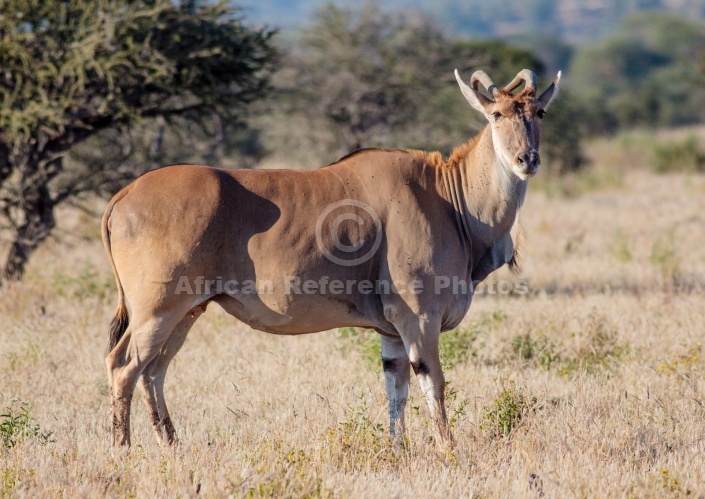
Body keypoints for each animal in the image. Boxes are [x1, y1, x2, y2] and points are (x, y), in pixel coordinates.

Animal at [102, 68, 560, 448]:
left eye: (538, 112)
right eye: (497, 114)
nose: (527, 160)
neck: (447, 196)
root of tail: (124, 195)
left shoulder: (392, 333)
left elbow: (396, 393)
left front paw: (399, 450)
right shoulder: (420, 320)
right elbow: (434, 385)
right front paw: (448, 449)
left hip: (186, 312)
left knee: (153, 371)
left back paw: (171, 444)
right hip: (158, 311)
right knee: (124, 367)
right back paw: (122, 449)